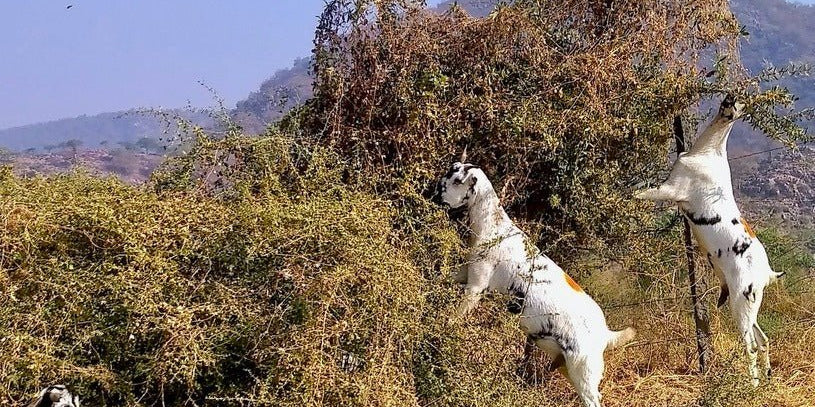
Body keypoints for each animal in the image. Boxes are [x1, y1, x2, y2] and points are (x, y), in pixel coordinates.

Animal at [432, 159, 635, 407]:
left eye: (457, 181)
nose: (434, 195)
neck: (495, 227)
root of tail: (605, 334)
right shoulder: (465, 272)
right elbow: (441, 276)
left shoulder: (476, 286)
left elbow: (455, 317)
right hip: (567, 367)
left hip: (584, 373)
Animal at [636, 96, 784, 385]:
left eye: (739, 107)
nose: (729, 100)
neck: (708, 152)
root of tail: (767, 273)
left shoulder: (670, 189)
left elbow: (640, 193)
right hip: (750, 307)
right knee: (763, 340)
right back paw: (767, 377)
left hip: (741, 303)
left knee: (750, 345)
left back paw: (752, 383)